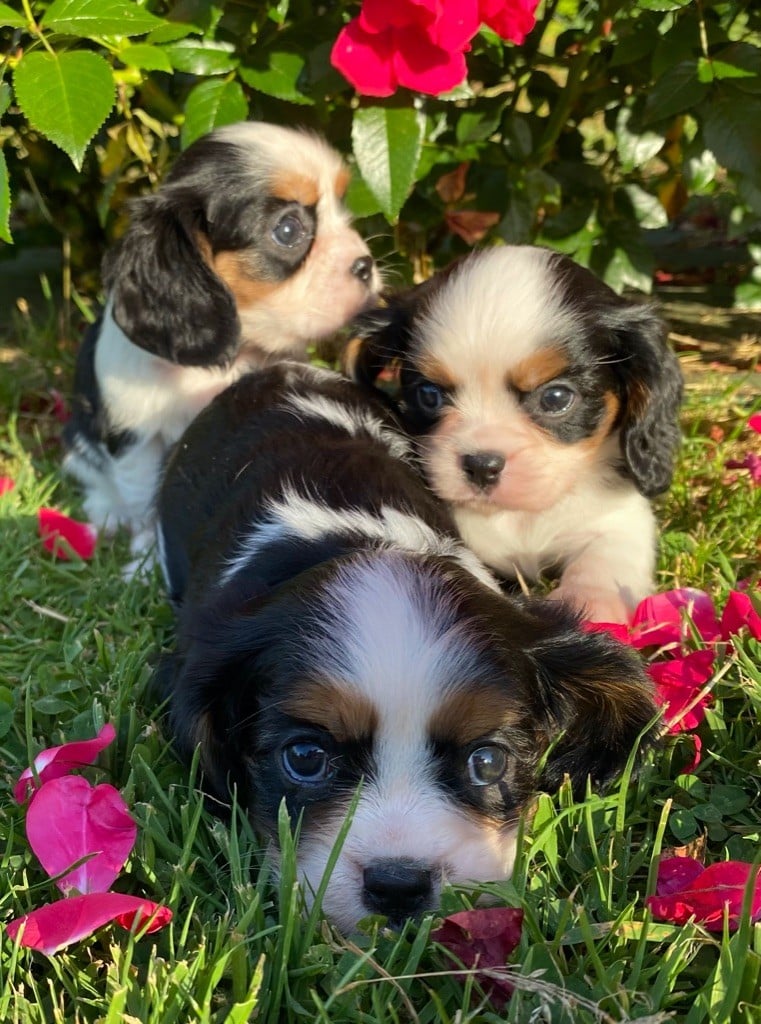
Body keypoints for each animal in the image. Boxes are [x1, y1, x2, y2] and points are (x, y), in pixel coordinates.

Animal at [64, 124, 378, 569]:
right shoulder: (135, 437)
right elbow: (143, 498)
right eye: (287, 230)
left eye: (342, 207)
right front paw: (146, 558)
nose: (366, 264)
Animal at [346, 245, 684, 622]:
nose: (482, 466)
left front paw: (592, 603)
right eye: (429, 395)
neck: (520, 515)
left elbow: (606, 557)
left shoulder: (619, 516)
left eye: (555, 398)